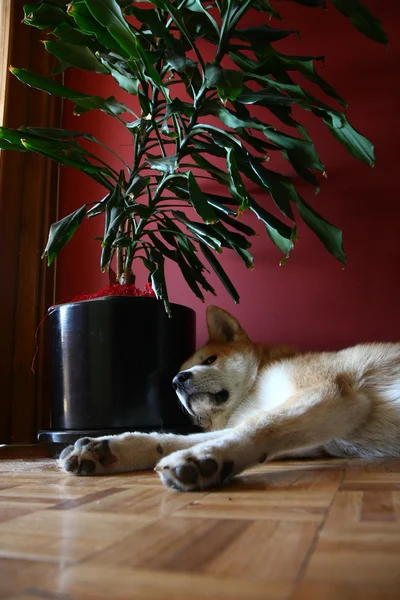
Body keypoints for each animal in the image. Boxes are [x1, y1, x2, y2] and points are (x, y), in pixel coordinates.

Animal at [58, 308, 400, 490]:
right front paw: (111, 448)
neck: (253, 388)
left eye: (210, 360)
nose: (176, 381)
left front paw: (205, 457)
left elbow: (258, 427)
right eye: (176, 377)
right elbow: (170, 439)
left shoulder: (330, 396)